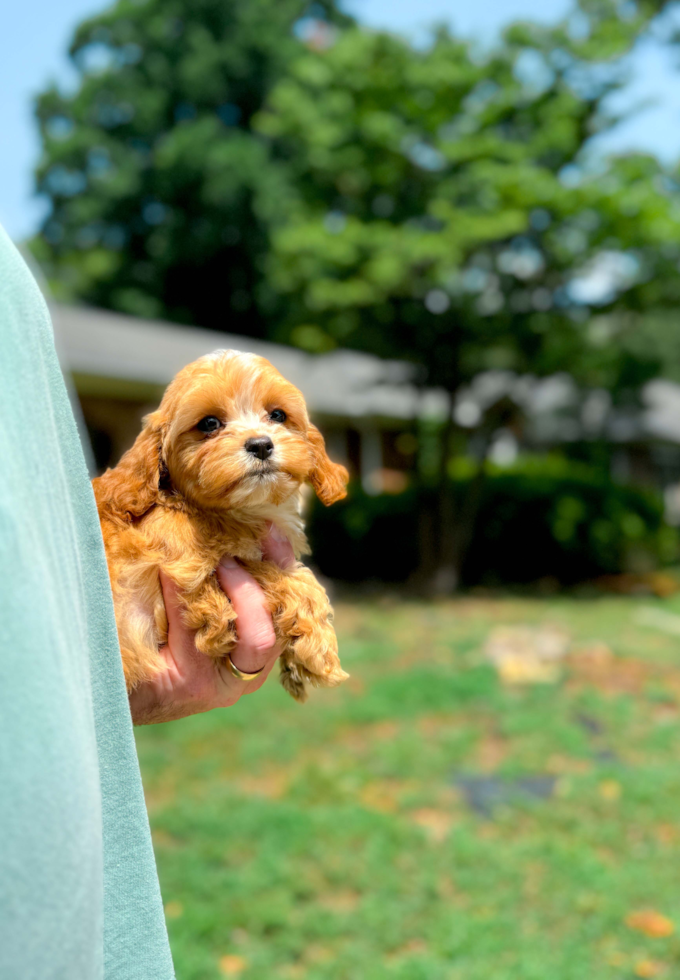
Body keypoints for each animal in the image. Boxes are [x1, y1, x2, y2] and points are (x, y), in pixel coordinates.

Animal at [93, 348, 350, 700]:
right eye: (210, 423)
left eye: (278, 415)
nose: (260, 444)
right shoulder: (181, 566)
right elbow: (283, 576)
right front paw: (319, 652)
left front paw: (296, 666)